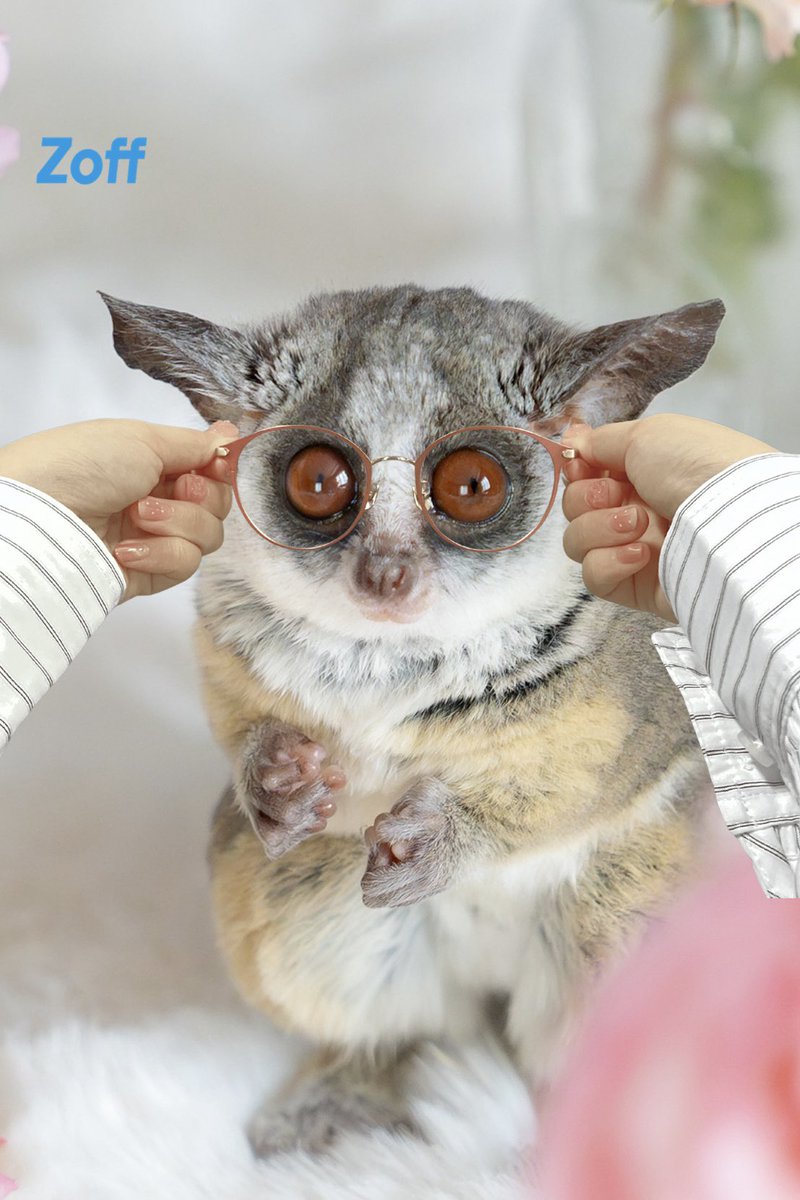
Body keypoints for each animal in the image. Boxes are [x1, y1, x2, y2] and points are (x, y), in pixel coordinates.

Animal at [102, 285, 723, 1158]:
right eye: (318, 480)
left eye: (472, 486)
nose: (386, 575)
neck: (391, 657)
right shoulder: (225, 643)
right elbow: (238, 722)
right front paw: (275, 779)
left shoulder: (630, 687)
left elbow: (598, 774)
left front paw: (441, 837)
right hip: (303, 897)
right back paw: (361, 1088)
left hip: (644, 897)